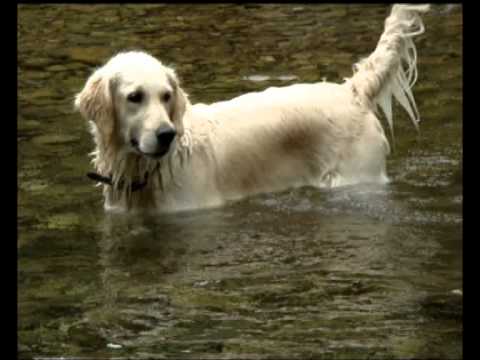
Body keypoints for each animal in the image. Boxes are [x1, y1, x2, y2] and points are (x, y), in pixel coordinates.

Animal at [76, 4, 432, 212]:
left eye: (166, 97)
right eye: (135, 96)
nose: (167, 134)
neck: (145, 171)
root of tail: (351, 90)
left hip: (356, 176)